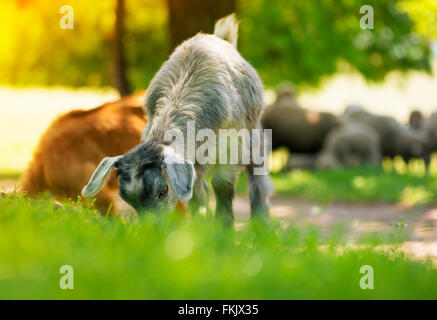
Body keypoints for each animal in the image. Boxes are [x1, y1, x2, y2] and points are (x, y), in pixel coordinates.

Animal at [81, 14, 270, 225]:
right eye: (127, 198)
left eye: (163, 190)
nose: (152, 228)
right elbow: (196, 191)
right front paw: (198, 225)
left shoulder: (232, 143)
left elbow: (221, 184)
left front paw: (224, 224)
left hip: (254, 135)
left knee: (258, 178)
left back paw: (261, 222)